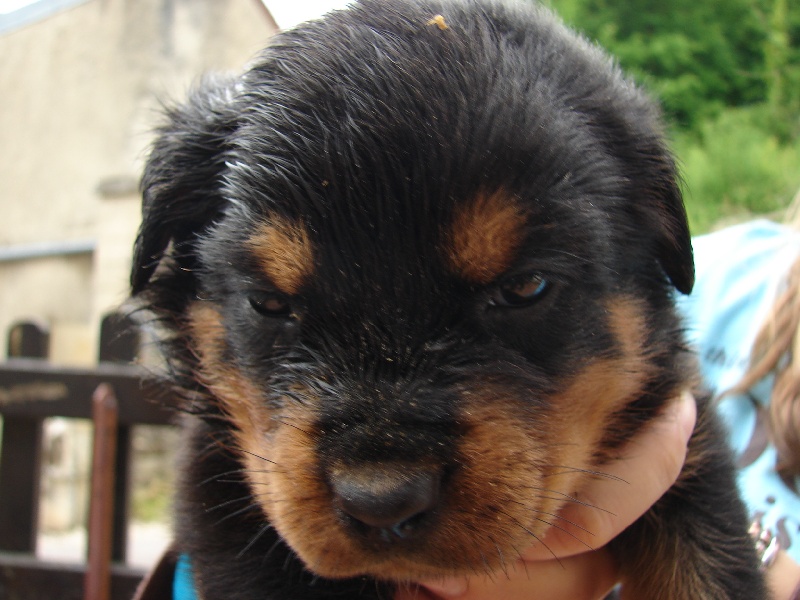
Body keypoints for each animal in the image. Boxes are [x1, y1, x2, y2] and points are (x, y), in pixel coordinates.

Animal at [131, 1, 767, 598]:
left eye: (525, 287)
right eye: (266, 303)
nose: (381, 500)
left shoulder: (690, 457)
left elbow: (705, 571)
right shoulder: (225, 498)